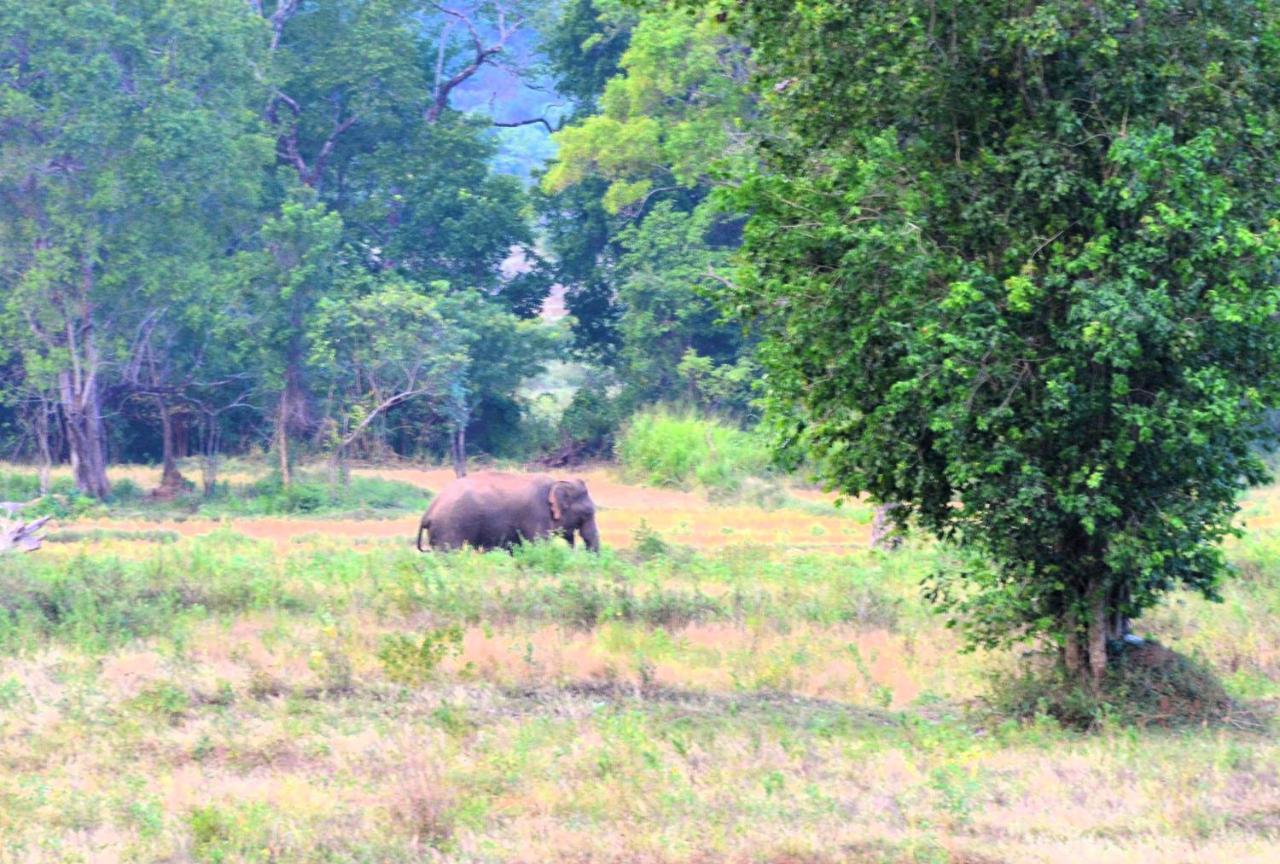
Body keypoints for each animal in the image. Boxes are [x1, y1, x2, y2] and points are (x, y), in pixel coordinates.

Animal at [417, 473, 601, 555]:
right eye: (588, 512)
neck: (556, 482)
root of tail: (428, 512)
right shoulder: (536, 515)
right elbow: (538, 546)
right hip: (448, 528)